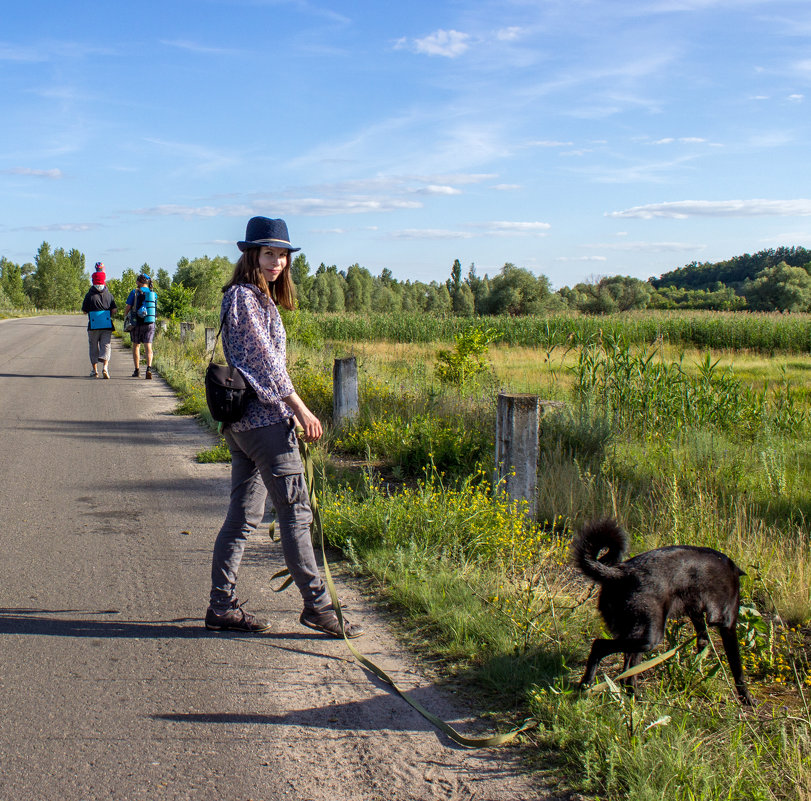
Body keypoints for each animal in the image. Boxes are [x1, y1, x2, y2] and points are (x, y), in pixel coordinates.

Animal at [572, 516, 756, 704]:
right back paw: (586, 684)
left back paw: (634, 695)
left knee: (628, 670)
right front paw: (746, 697)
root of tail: (620, 574)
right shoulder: (728, 625)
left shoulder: (696, 612)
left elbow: (702, 639)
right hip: (650, 636)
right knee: (599, 646)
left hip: (639, 632)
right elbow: (737, 668)